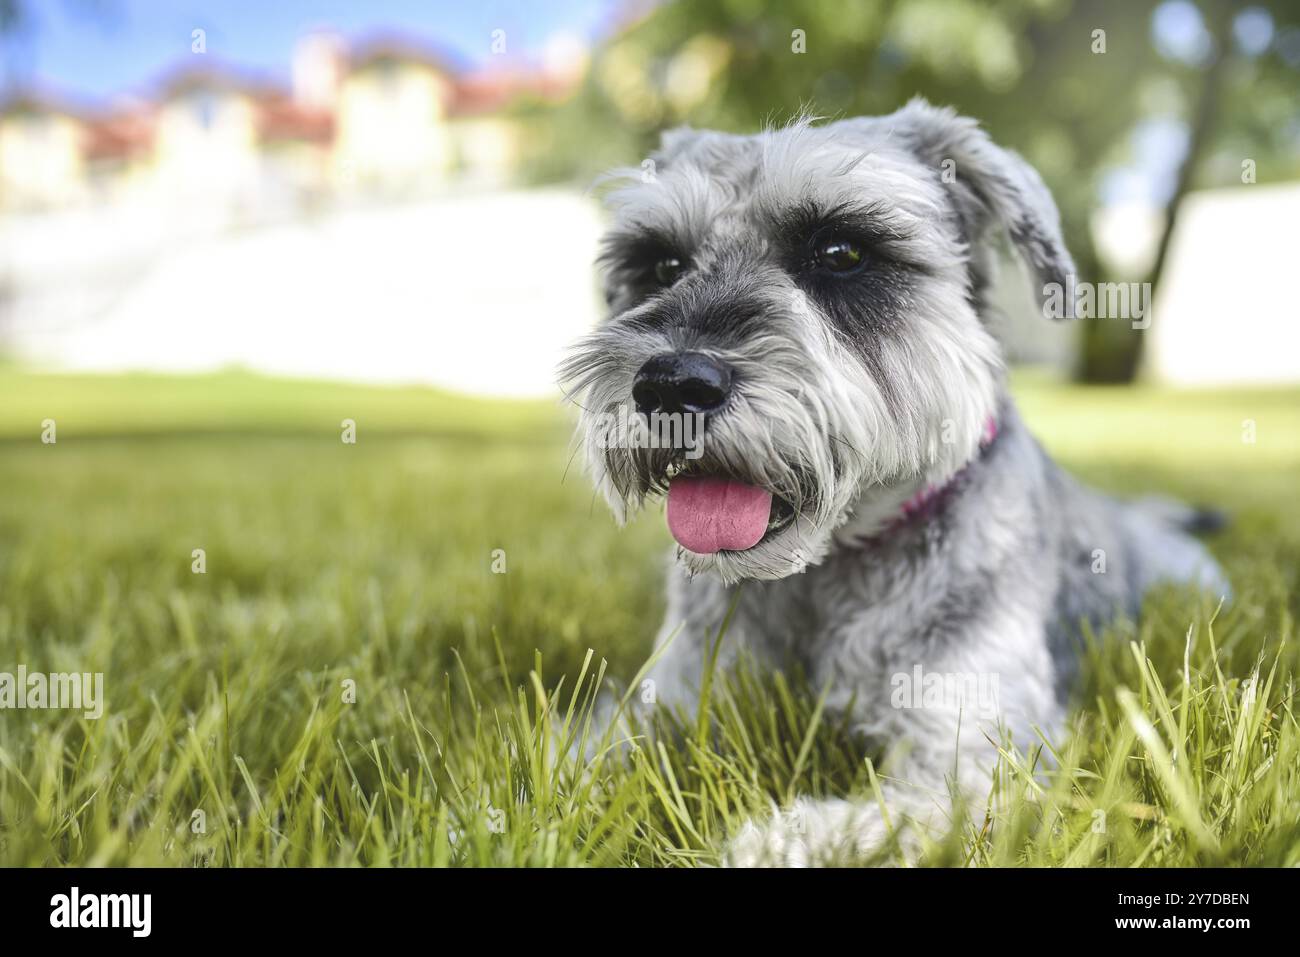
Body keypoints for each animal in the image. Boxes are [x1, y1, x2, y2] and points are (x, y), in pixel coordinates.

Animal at [559, 98, 1227, 868]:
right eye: (663, 263)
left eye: (842, 253)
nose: (671, 385)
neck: (825, 572)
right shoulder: (671, 697)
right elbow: (575, 763)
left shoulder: (974, 764)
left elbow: (860, 827)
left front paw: (763, 842)